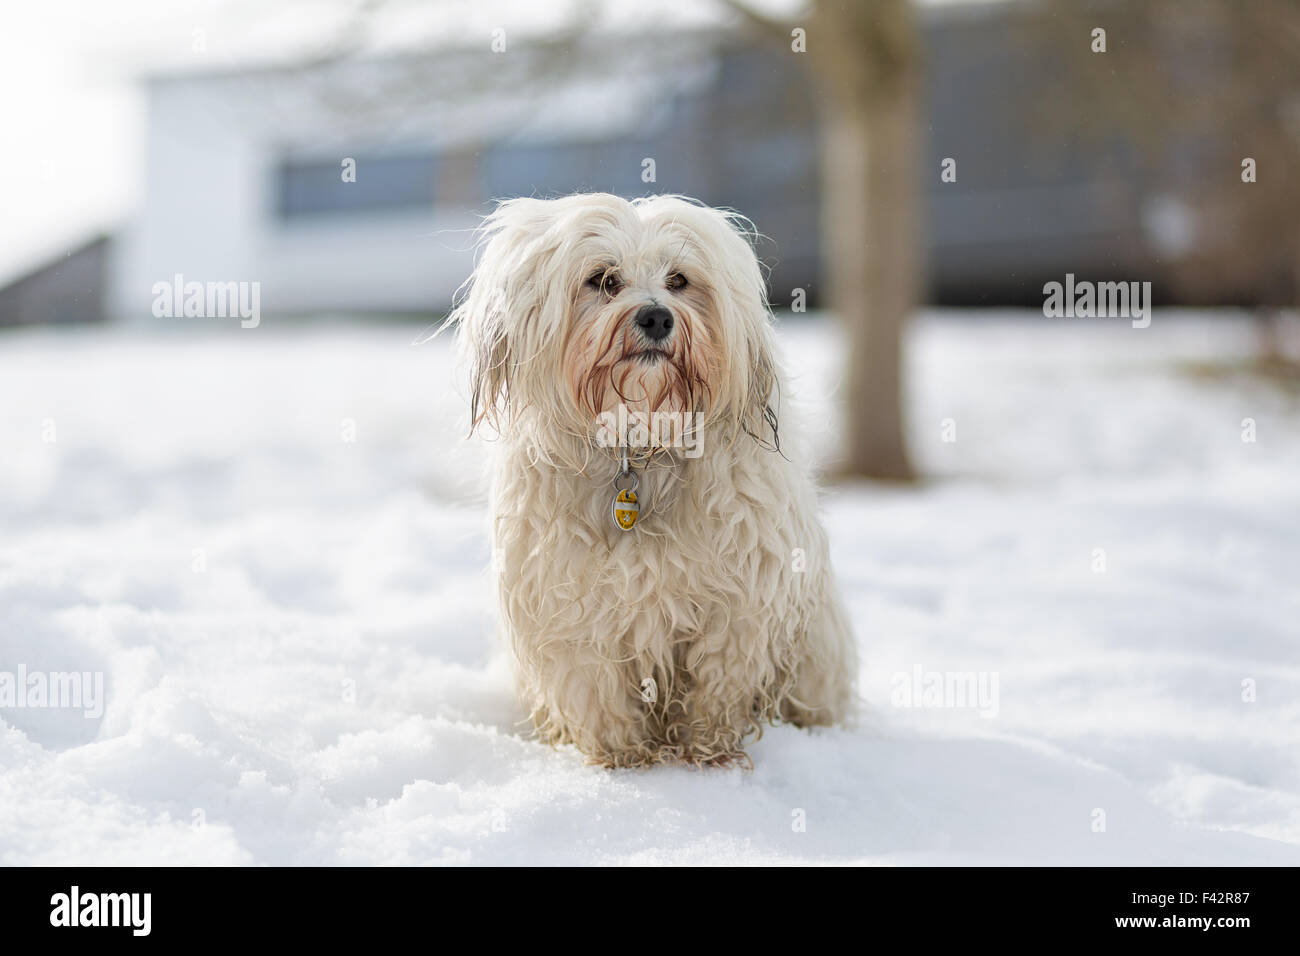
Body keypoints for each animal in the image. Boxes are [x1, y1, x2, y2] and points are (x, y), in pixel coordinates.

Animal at [452, 195, 857, 770]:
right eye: (603, 280)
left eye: (679, 280)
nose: (657, 316)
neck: (639, 446)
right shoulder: (569, 606)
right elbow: (595, 690)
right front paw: (621, 759)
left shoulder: (739, 604)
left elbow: (719, 685)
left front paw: (708, 754)